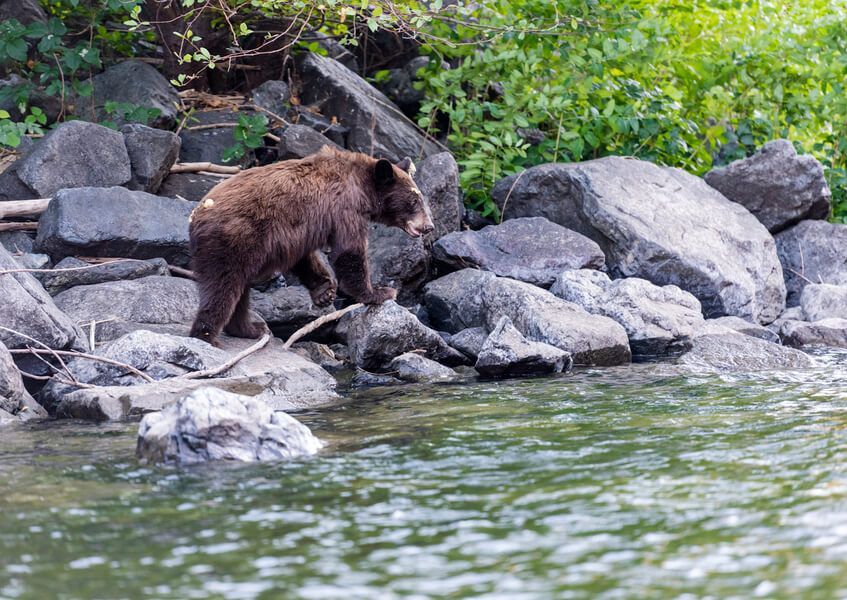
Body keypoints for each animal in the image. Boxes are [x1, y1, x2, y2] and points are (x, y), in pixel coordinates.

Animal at [188, 145, 434, 346]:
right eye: (414, 200)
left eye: (421, 198)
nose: (429, 226)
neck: (363, 186)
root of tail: (195, 217)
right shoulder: (345, 207)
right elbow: (349, 251)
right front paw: (379, 292)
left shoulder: (292, 234)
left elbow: (303, 257)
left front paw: (325, 291)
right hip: (233, 240)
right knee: (223, 287)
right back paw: (207, 335)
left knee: (240, 291)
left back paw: (249, 328)